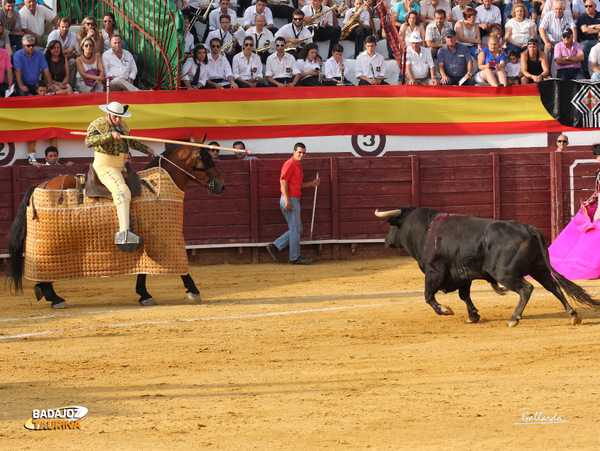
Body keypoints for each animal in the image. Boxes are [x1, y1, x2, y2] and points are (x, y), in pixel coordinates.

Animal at [7, 139, 225, 308]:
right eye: (206, 159)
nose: (221, 186)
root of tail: (39, 185)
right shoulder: (166, 238)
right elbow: (182, 268)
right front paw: (193, 291)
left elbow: (142, 269)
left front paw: (144, 294)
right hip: (50, 244)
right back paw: (55, 298)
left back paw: (47, 294)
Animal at [376, 207, 600, 326]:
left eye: (391, 226)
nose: (386, 241)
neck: (425, 231)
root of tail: (528, 227)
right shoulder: (463, 275)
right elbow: (464, 296)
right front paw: (473, 316)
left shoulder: (434, 272)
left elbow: (428, 296)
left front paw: (445, 310)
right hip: (540, 269)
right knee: (554, 288)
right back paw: (573, 315)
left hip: (505, 273)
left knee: (526, 289)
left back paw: (514, 318)